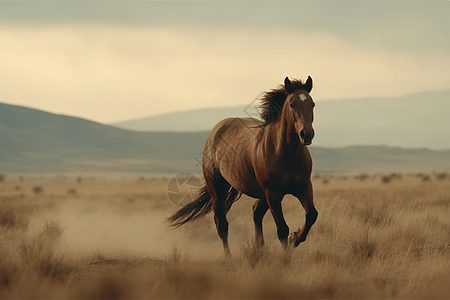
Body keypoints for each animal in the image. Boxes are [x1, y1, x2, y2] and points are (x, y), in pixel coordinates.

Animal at [167, 75, 318, 255]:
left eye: (312, 104)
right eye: (292, 104)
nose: (306, 134)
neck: (287, 154)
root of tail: (215, 130)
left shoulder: (303, 187)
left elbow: (311, 215)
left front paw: (296, 238)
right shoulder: (273, 194)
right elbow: (282, 229)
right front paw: (288, 250)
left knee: (256, 212)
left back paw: (259, 248)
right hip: (218, 189)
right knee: (222, 223)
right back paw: (229, 256)